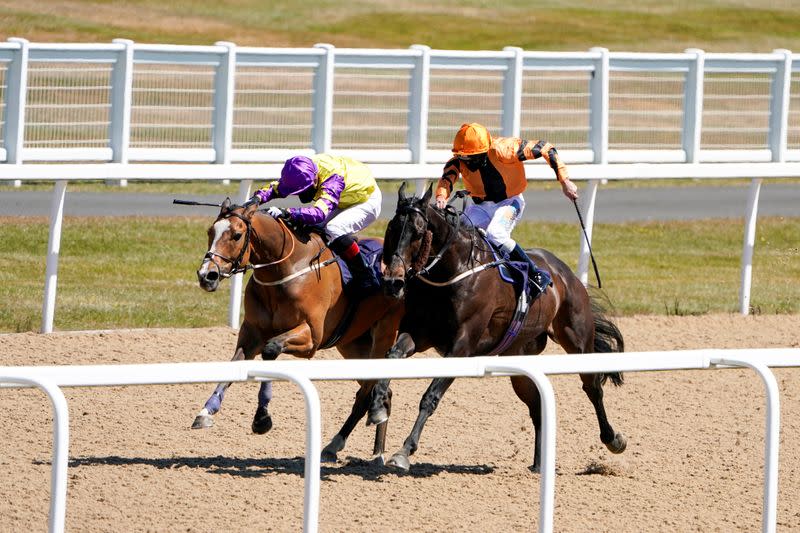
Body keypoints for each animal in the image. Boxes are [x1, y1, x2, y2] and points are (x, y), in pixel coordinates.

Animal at [191, 197, 404, 464]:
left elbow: (271, 350)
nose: (206, 276)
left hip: (384, 334)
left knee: (367, 392)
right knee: (382, 391)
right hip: (353, 345)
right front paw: (205, 412)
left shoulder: (311, 337)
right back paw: (371, 450)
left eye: (237, 235)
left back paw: (354, 446)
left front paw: (261, 419)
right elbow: (234, 366)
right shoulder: (251, 334)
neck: (286, 269)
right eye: (210, 232)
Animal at [368, 183, 624, 470]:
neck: (452, 270)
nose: (393, 282)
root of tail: (565, 274)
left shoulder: (461, 347)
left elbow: (430, 396)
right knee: (537, 406)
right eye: (392, 228)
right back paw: (538, 463)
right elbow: (392, 356)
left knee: (593, 388)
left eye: (418, 232)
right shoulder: (419, 333)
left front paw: (404, 451)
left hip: (578, 341)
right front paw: (377, 407)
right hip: (519, 357)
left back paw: (613, 439)